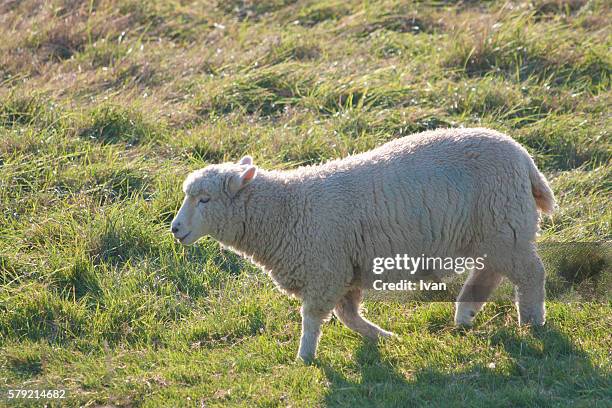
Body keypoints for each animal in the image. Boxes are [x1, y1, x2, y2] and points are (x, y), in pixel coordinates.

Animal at [171, 126, 556, 360]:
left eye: (204, 200)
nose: (175, 229)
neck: (288, 209)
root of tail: (524, 157)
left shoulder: (325, 270)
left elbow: (313, 318)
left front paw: (305, 356)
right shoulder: (345, 270)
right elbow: (348, 316)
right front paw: (383, 338)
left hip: (505, 225)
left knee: (530, 275)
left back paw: (531, 321)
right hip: (494, 230)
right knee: (490, 271)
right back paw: (465, 315)